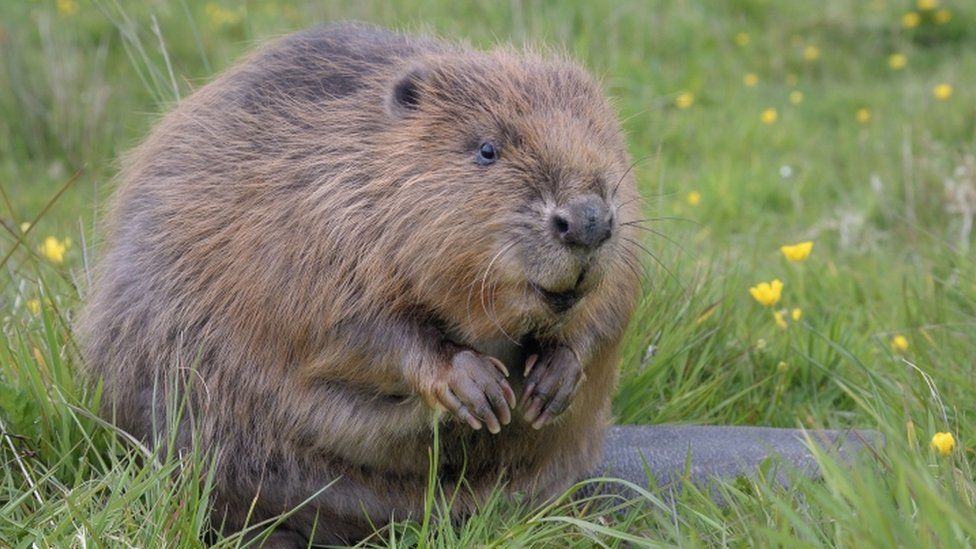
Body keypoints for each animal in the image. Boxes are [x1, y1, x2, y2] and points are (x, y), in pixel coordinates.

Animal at [82, 22, 640, 544]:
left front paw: (553, 378)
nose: (587, 220)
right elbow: (352, 329)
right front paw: (475, 386)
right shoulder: (308, 224)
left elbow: (610, 307)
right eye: (487, 149)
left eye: (603, 139)